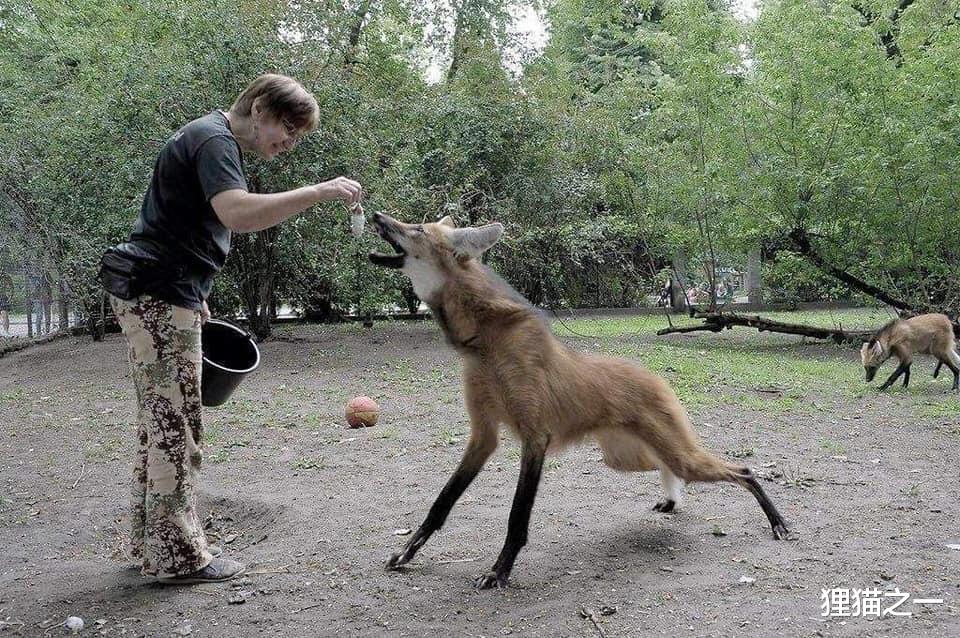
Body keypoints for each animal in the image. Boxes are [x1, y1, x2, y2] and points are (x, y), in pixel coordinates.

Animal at [368, 214, 788, 592]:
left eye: (416, 229)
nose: (375, 215)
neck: (486, 343)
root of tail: (655, 376)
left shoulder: (535, 437)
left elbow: (517, 518)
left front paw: (499, 572)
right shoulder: (483, 437)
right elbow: (441, 504)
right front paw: (406, 553)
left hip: (670, 453)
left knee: (740, 470)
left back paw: (777, 522)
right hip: (623, 457)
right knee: (666, 466)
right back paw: (671, 499)